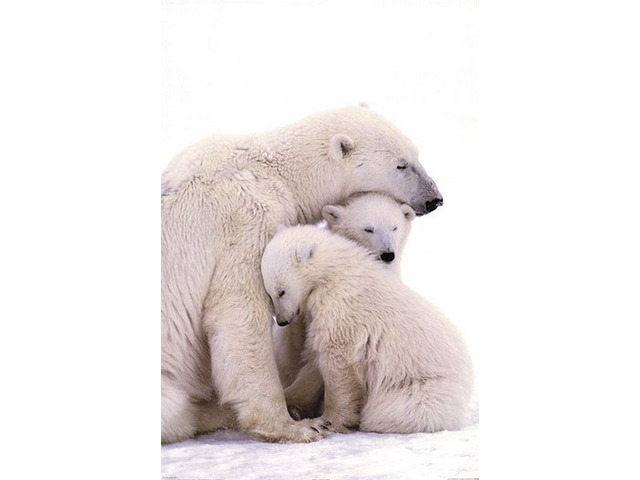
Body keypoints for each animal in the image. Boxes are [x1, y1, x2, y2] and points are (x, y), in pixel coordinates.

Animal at [261, 225, 473, 434]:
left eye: (281, 291)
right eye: (269, 293)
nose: (282, 321)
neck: (333, 271)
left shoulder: (341, 307)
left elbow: (337, 362)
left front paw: (330, 421)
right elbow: (314, 361)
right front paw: (291, 402)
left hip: (424, 386)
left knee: (393, 410)